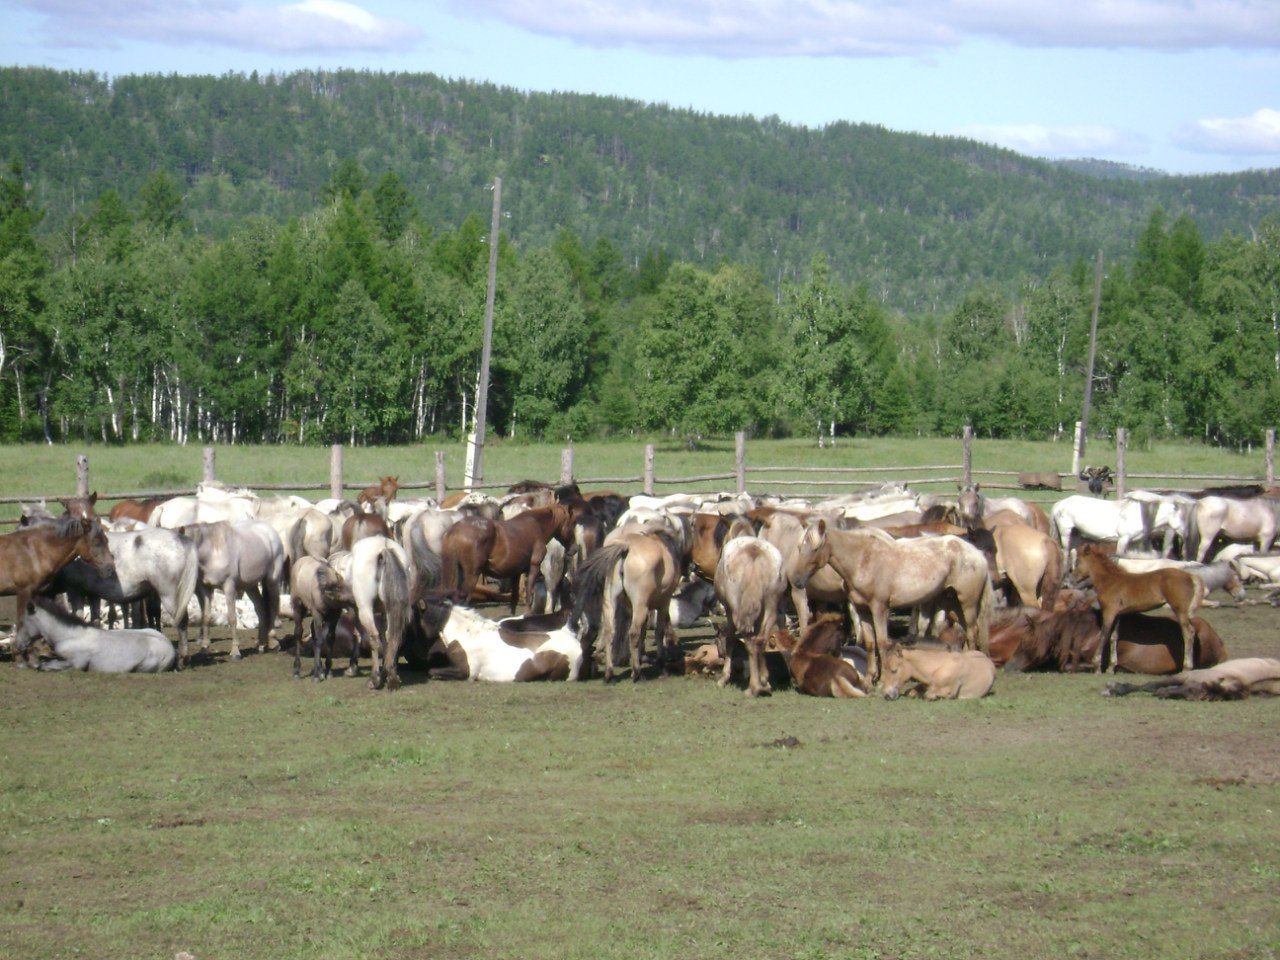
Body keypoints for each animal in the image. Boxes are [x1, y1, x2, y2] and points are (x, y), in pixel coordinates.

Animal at [13, 599, 175, 670]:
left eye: (22, 622)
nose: (18, 645)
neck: (71, 635)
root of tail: (171, 649)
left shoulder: (77, 664)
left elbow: (46, 665)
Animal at [181, 519, 284, 660]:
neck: (213, 551)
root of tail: (271, 531)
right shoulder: (206, 589)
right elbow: (206, 616)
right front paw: (204, 648)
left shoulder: (229, 587)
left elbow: (232, 618)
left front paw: (235, 652)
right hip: (250, 585)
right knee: (261, 608)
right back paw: (261, 645)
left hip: (271, 580)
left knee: (273, 605)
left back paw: (273, 643)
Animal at [716, 535, 783, 701]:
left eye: (716, 640)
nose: (719, 654)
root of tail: (754, 551)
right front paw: (764, 679)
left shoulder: (729, 610)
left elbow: (731, 639)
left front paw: (723, 678)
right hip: (771, 604)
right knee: (761, 639)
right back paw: (763, 682)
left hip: (737, 609)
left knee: (750, 641)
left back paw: (754, 688)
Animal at [824, 527, 993, 686]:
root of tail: (978, 555)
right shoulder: (865, 608)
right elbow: (873, 642)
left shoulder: (883, 608)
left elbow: (886, 641)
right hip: (955, 604)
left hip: (966, 604)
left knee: (971, 631)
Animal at [1075, 547, 1203, 675]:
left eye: (1078, 561)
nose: (1074, 579)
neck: (1110, 580)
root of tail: (1190, 576)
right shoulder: (1118, 614)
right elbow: (1114, 637)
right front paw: (1111, 668)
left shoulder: (1109, 612)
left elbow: (1104, 635)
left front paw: (1097, 667)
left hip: (1179, 611)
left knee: (1188, 633)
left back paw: (1186, 668)